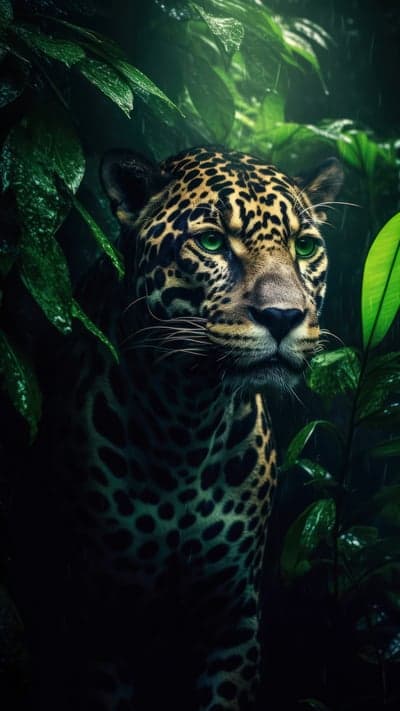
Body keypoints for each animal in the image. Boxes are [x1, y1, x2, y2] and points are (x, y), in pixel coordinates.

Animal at [22, 146, 343, 711]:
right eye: (211, 242)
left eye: (304, 247)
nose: (284, 316)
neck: (185, 422)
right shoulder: (100, 617)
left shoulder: (233, 617)